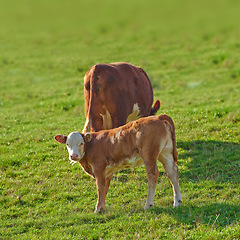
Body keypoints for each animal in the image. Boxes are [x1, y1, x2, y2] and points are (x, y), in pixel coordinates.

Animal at [54, 114, 182, 212]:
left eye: (81, 143)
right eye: (67, 144)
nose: (73, 156)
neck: (91, 145)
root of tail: (157, 117)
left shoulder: (99, 168)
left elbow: (100, 188)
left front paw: (97, 209)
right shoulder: (107, 173)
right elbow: (105, 189)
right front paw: (102, 208)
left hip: (149, 156)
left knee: (153, 176)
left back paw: (148, 205)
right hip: (165, 153)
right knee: (172, 172)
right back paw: (177, 202)